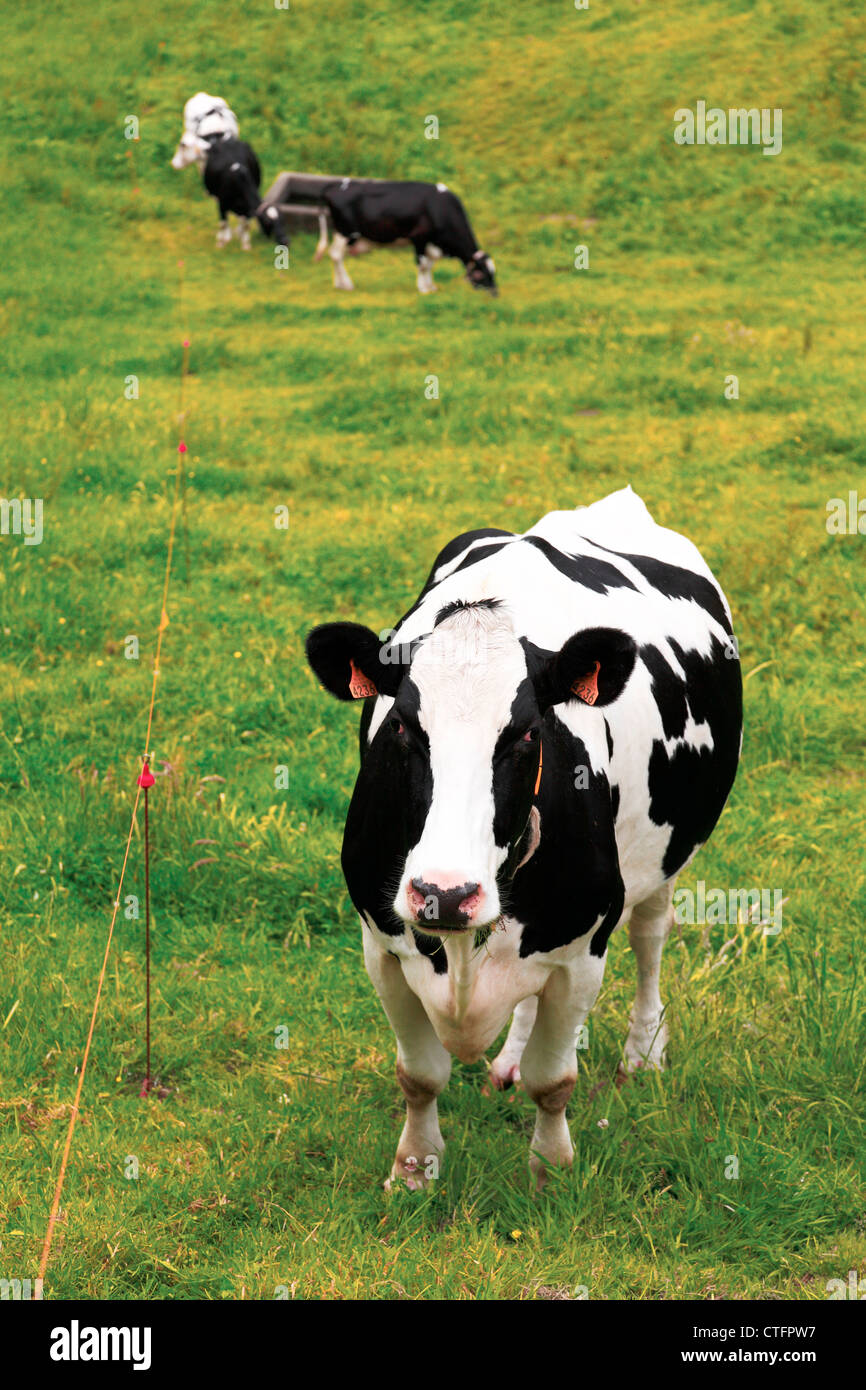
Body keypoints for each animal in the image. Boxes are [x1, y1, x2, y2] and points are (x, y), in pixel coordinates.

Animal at [304, 487, 742, 1191]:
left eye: (527, 733)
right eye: (401, 726)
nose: (444, 894)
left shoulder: (583, 947)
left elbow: (554, 1080)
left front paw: (551, 1174)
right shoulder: (381, 945)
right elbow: (418, 1074)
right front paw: (414, 1169)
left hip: (664, 857)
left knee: (650, 937)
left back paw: (644, 1051)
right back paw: (508, 1059)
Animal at [313, 178, 497, 295]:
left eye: (493, 272)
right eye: (480, 274)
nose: (495, 294)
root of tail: (334, 186)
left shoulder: (431, 243)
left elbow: (429, 266)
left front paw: (431, 286)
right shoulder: (419, 238)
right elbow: (422, 265)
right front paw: (423, 289)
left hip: (343, 234)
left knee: (336, 255)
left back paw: (339, 284)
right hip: (346, 232)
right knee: (336, 255)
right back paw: (346, 284)